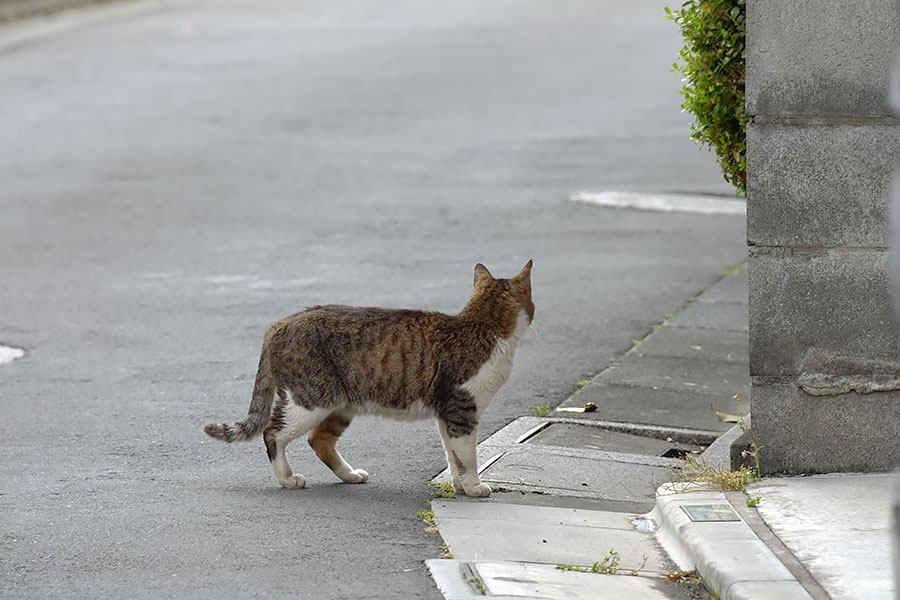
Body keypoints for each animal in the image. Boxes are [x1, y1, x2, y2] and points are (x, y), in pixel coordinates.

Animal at [202, 258, 536, 496]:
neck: (482, 326)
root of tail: (279, 323)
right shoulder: (462, 410)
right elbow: (468, 455)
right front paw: (474, 487)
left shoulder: (446, 414)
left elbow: (453, 455)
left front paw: (459, 485)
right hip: (311, 399)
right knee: (273, 432)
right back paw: (287, 478)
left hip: (340, 405)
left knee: (319, 440)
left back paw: (350, 475)